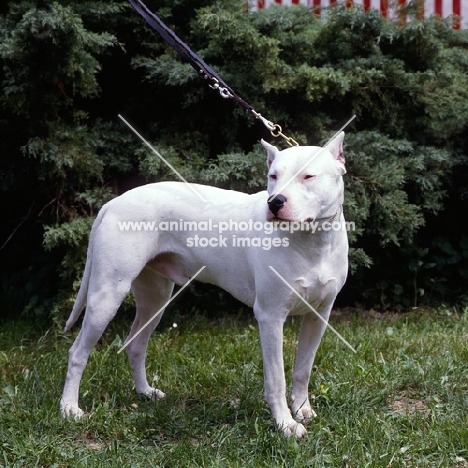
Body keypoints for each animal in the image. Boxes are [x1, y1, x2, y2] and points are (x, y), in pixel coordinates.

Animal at [60, 133, 348, 438]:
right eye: (273, 176)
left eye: (308, 176)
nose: (275, 202)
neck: (312, 242)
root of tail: (113, 203)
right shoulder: (270, 317)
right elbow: (276, 377)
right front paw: (285, 423)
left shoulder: (319, 316)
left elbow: (303, 368)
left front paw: (302, 409)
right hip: (106, 297)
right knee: (78, 352)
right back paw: (69, 408)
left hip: (155, 299)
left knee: (136, 344)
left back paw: (145, 392)